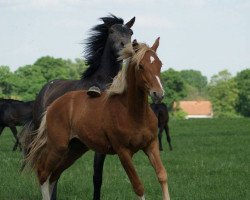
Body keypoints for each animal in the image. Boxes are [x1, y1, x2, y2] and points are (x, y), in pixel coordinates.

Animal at [20, 14, 136, 200]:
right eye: (112, 31)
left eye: (130, 32)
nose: (126, 49)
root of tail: (45, 89)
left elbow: (97, 177)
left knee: (55, 172)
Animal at [26, 38, 170, 199]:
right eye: (141, 66)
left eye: (160, 64)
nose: (159, 94)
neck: (133, 114)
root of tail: (52, 106)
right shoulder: (123, 152)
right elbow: (138, 186)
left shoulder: (151, 145)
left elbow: (162, 175)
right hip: (58, 147)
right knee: (43, 173)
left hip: (75, 149)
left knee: (54, 175)